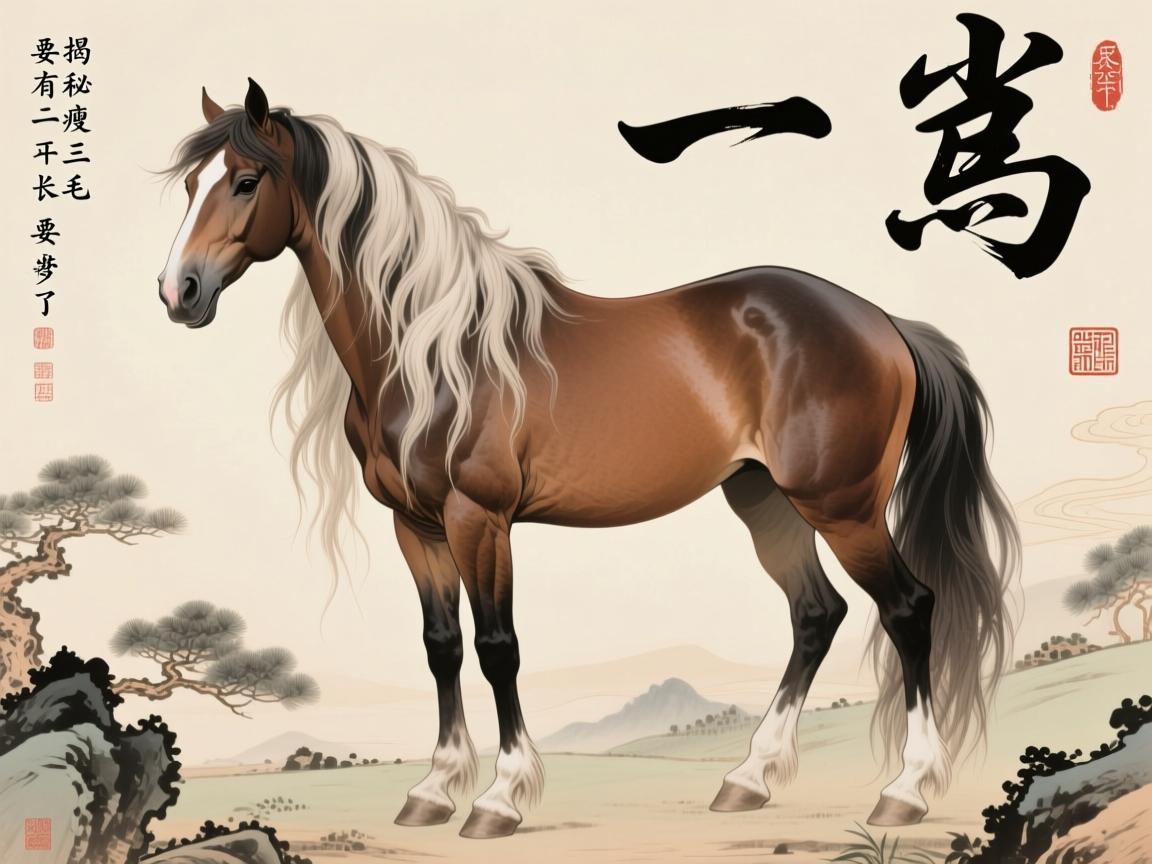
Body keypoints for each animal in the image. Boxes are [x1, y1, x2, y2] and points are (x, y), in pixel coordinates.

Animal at [156, 79, 1019, 840]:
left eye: (245, 181)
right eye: (191, 183)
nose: (178, 291)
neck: (432, 350)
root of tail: (883, 322)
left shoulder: (480, 520)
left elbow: (497, 649)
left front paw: (499, 800)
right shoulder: (416, 526)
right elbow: (442, 649)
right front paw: (432, 791)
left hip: (842, 508)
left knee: (908, 610)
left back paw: (904, 792)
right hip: (764, 500)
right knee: (816, 615)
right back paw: (747, 780)